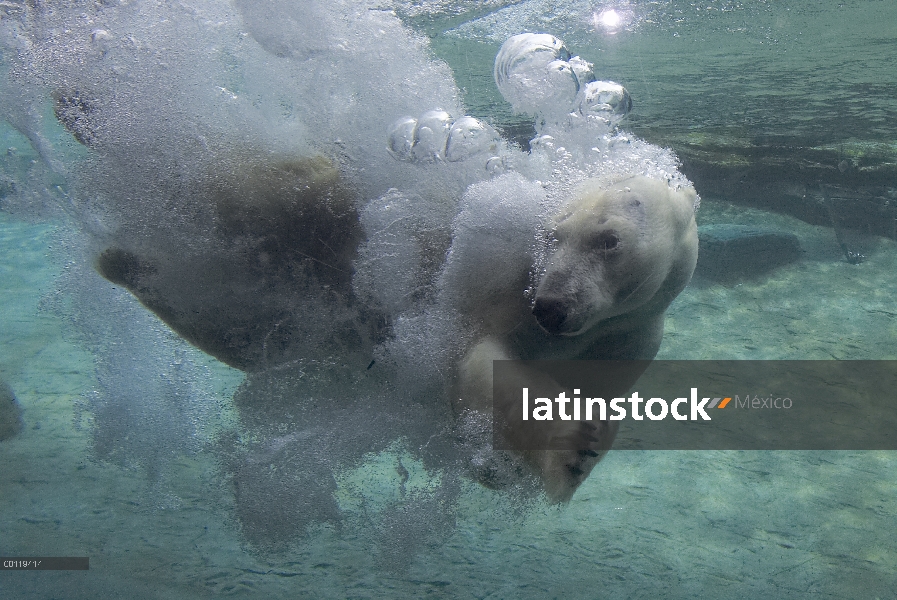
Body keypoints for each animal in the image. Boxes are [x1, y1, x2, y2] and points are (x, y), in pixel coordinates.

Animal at [452, 173, 696, 502]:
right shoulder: (510, 297)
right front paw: (573, 450)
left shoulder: (626, 335)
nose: (551, 307)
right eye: (552, 236)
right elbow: (484, 361)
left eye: (609, 240)